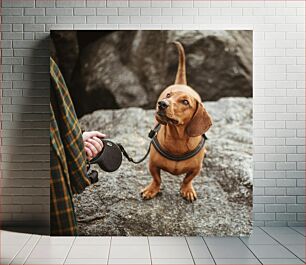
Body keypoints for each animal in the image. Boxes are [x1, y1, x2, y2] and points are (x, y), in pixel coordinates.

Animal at [142, 41, 212, 202]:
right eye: (168, 95)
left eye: (185, 102)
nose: (162, 104)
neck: (177, 139)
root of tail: (182, 83)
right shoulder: (153, 164)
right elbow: (157, 179)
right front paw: (152, 189)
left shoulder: (196, 169)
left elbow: (187, 179)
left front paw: (187, 190)